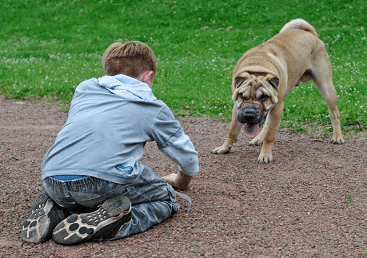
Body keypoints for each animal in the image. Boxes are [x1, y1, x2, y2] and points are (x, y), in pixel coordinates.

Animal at [213, 18, 344, 163]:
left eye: (263, 97)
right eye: (242, 96)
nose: (249, 114)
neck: (258, 67)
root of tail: (310, 33)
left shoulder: (277, 107)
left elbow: (270, 135)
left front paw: (265, 155)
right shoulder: (237, 108)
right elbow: (232, 131)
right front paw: (224, 147)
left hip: (326, 87)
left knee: (334, 113)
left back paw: (337, 136)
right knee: (266, 123)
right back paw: (258, 138)